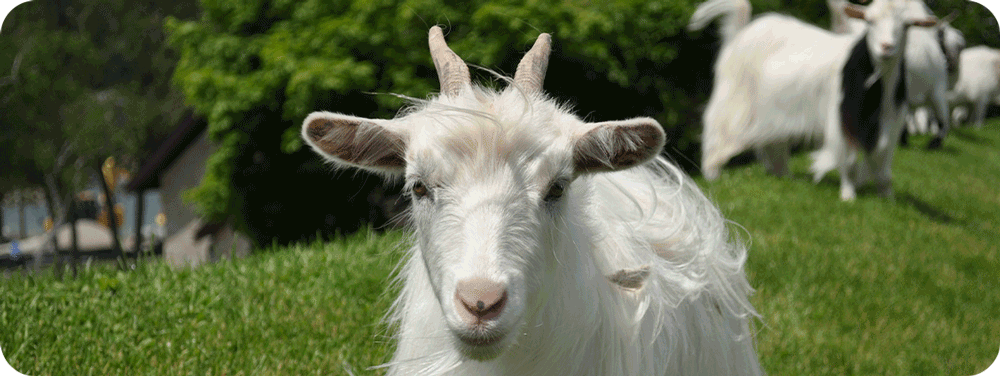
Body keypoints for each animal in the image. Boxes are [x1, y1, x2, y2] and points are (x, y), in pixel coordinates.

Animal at [696, 0, 936, 201]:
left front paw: (888, 198)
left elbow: (883, 164)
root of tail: (739, 33)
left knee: (774, 143)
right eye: (869, 21)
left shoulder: (889, 123)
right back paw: (712, 174)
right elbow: (849, 162)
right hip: (735, 98)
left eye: (907, 25)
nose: (887, 47)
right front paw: (848, 196)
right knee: (717, 129)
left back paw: (782, 175)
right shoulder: (841, 121)